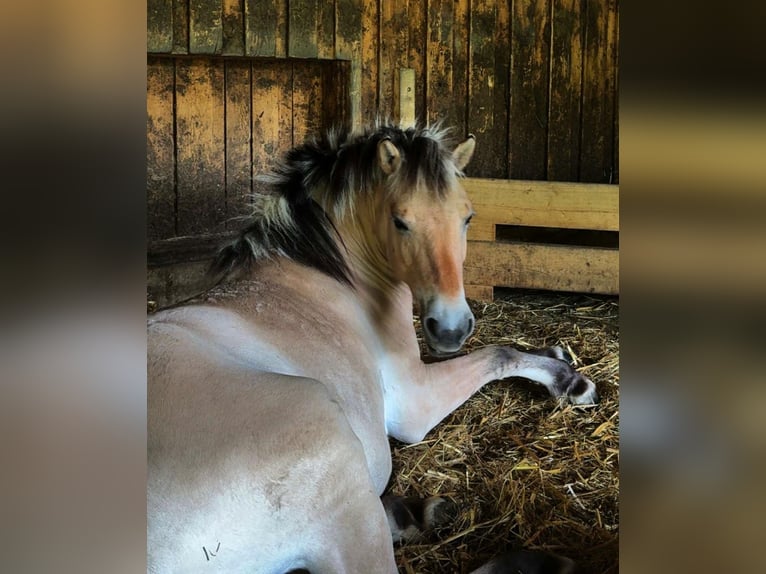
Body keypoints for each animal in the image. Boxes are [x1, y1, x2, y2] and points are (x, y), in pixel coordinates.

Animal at [147, 122, 596, 573]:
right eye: (400, 222)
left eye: (467, 217)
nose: (450, 328)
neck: (331, 276)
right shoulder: (414, 402)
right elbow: (499, 354)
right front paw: (569, 381)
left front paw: (555, 354)